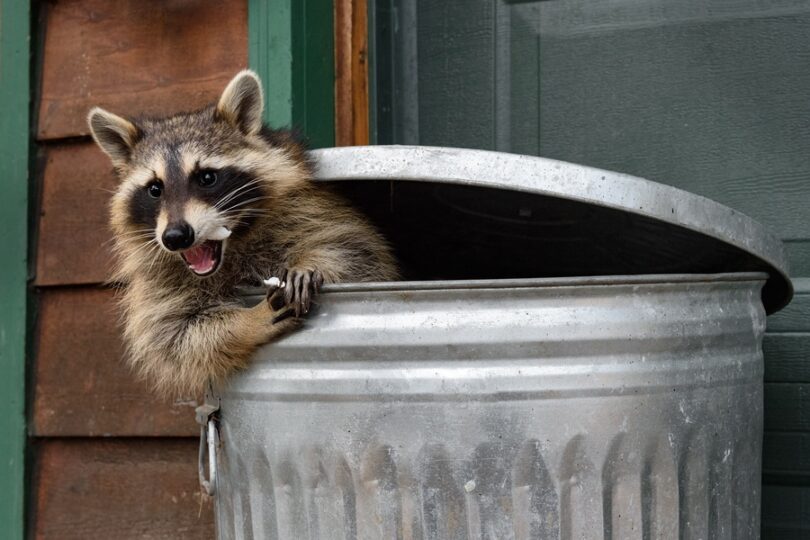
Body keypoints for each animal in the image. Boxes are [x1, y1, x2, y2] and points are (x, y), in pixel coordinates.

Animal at [88, 70, 399, 396]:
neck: (233, 246)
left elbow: (354, 250)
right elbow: (175, 336)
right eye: (154, 189)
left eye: (207, 177)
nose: (175, 237)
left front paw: (311, 265)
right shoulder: (158, 280)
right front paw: (247, 322)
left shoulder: (310, 207)